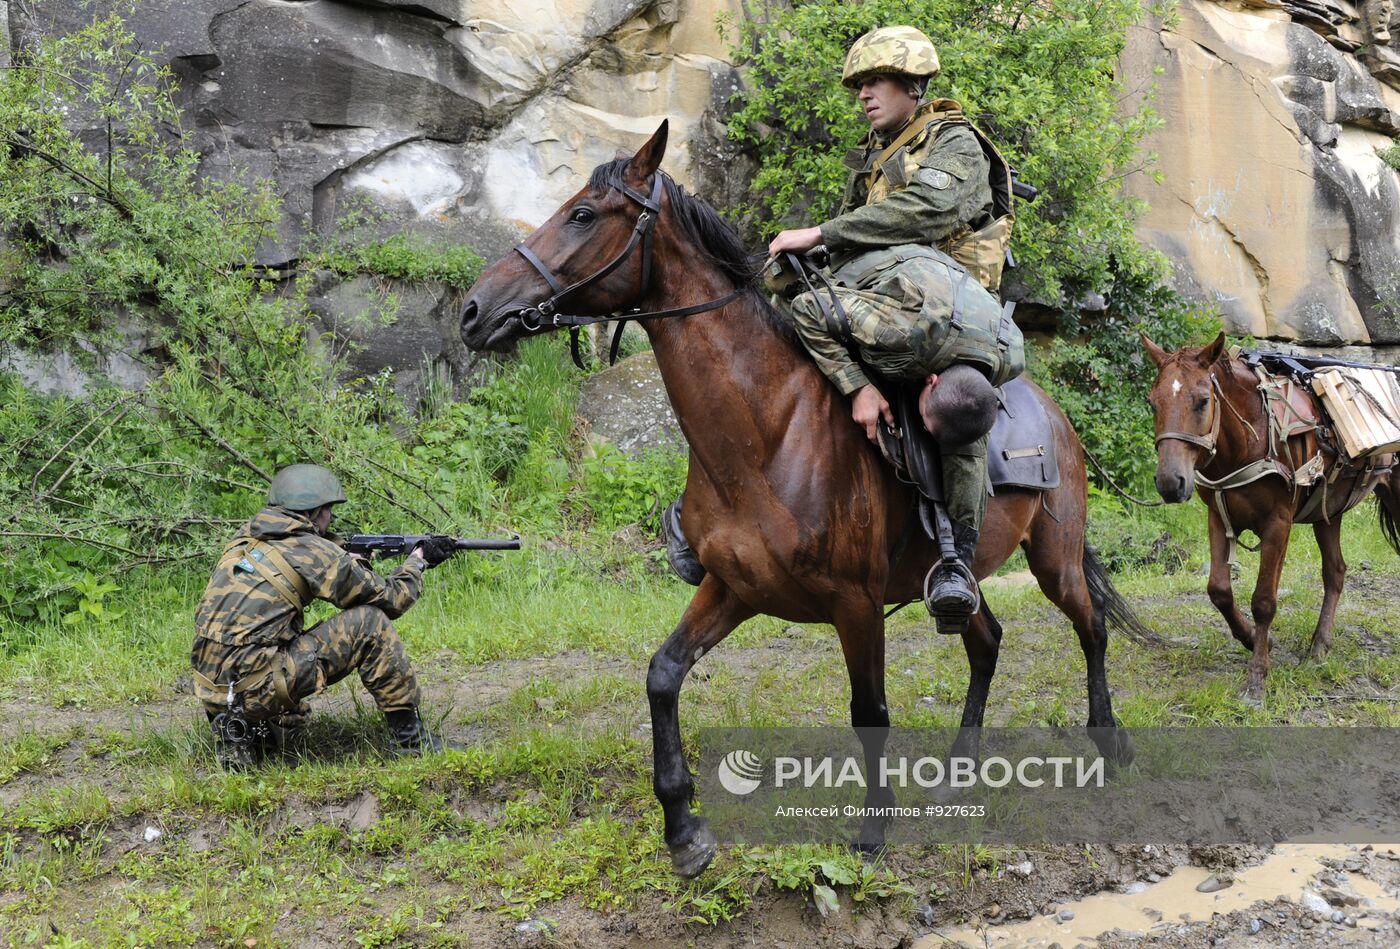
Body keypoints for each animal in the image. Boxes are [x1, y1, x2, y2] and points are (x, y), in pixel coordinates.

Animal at [464, 122, 1142, 879]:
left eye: (582, 215)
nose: (473, 309)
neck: (767, 434)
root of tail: (1051, 410)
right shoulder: (734, 586)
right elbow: (663, 674)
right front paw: (683, 825)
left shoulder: (857, 602)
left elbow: (869, 710)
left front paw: (873, 832)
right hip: (958, 581)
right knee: (986, 639)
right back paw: (959, 769)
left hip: (1054, 556)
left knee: (1092, 627)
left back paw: (1108, 740)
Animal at [1142, 330, 1400, 702]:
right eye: (1153, 403)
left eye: (1203, 400)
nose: (1169, 483)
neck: (1250, 438)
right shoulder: (1218, 517)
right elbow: (1218, 590)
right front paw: (1252, 640)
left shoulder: (1278, 524)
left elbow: (1264, 600)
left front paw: (1257, 679)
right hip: (1328, 511)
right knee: (1335, 572)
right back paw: (1318, 648)